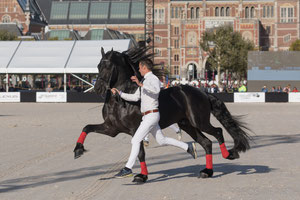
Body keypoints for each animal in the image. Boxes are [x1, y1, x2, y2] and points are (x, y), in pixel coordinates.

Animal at [74, 46, 251, 184]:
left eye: (109, 65)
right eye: (98, 65)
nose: (98, 88)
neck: (122, 100)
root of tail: (202, 92)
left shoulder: (135, 129)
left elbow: (140, 153)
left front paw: (140, 176)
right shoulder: (111, 128)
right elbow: (87, 127)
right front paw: (78, 150)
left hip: (199, 121)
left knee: (218, 132)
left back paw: (229, 154)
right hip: (187, 124)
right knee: (206, 143)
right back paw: (207, 171)